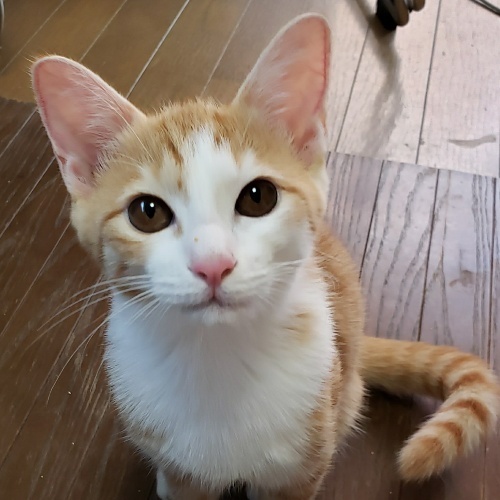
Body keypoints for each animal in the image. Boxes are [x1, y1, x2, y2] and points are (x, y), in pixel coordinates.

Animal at [31, 14, 499, 500]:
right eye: (147, 212)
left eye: (259, 197)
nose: (213, 265)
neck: (220, 360)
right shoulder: (183, 471)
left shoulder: (300, 468)